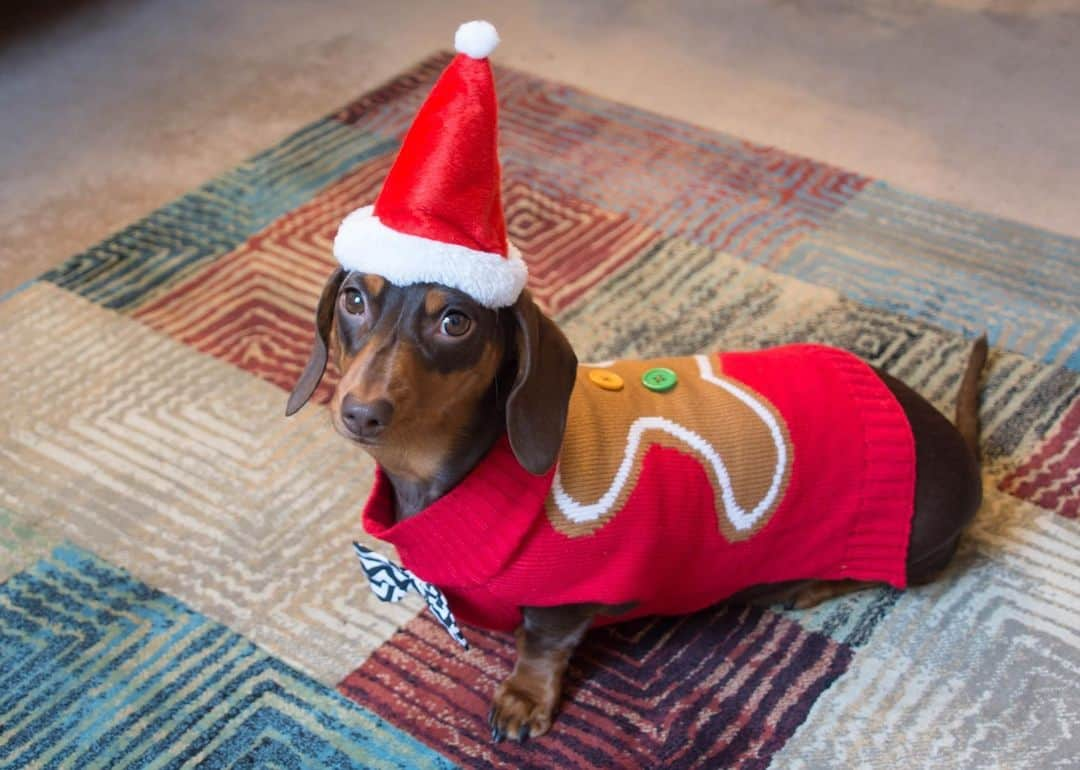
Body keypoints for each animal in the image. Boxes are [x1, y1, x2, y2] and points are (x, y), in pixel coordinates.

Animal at [287, 268, 989, 738]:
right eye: (353, 299)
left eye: (454, 321)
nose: (360, 412)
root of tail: (959, 447)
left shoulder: (571, 597)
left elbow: (542, 644)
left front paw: (523, 698)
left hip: (912, 540)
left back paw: (811, 584)